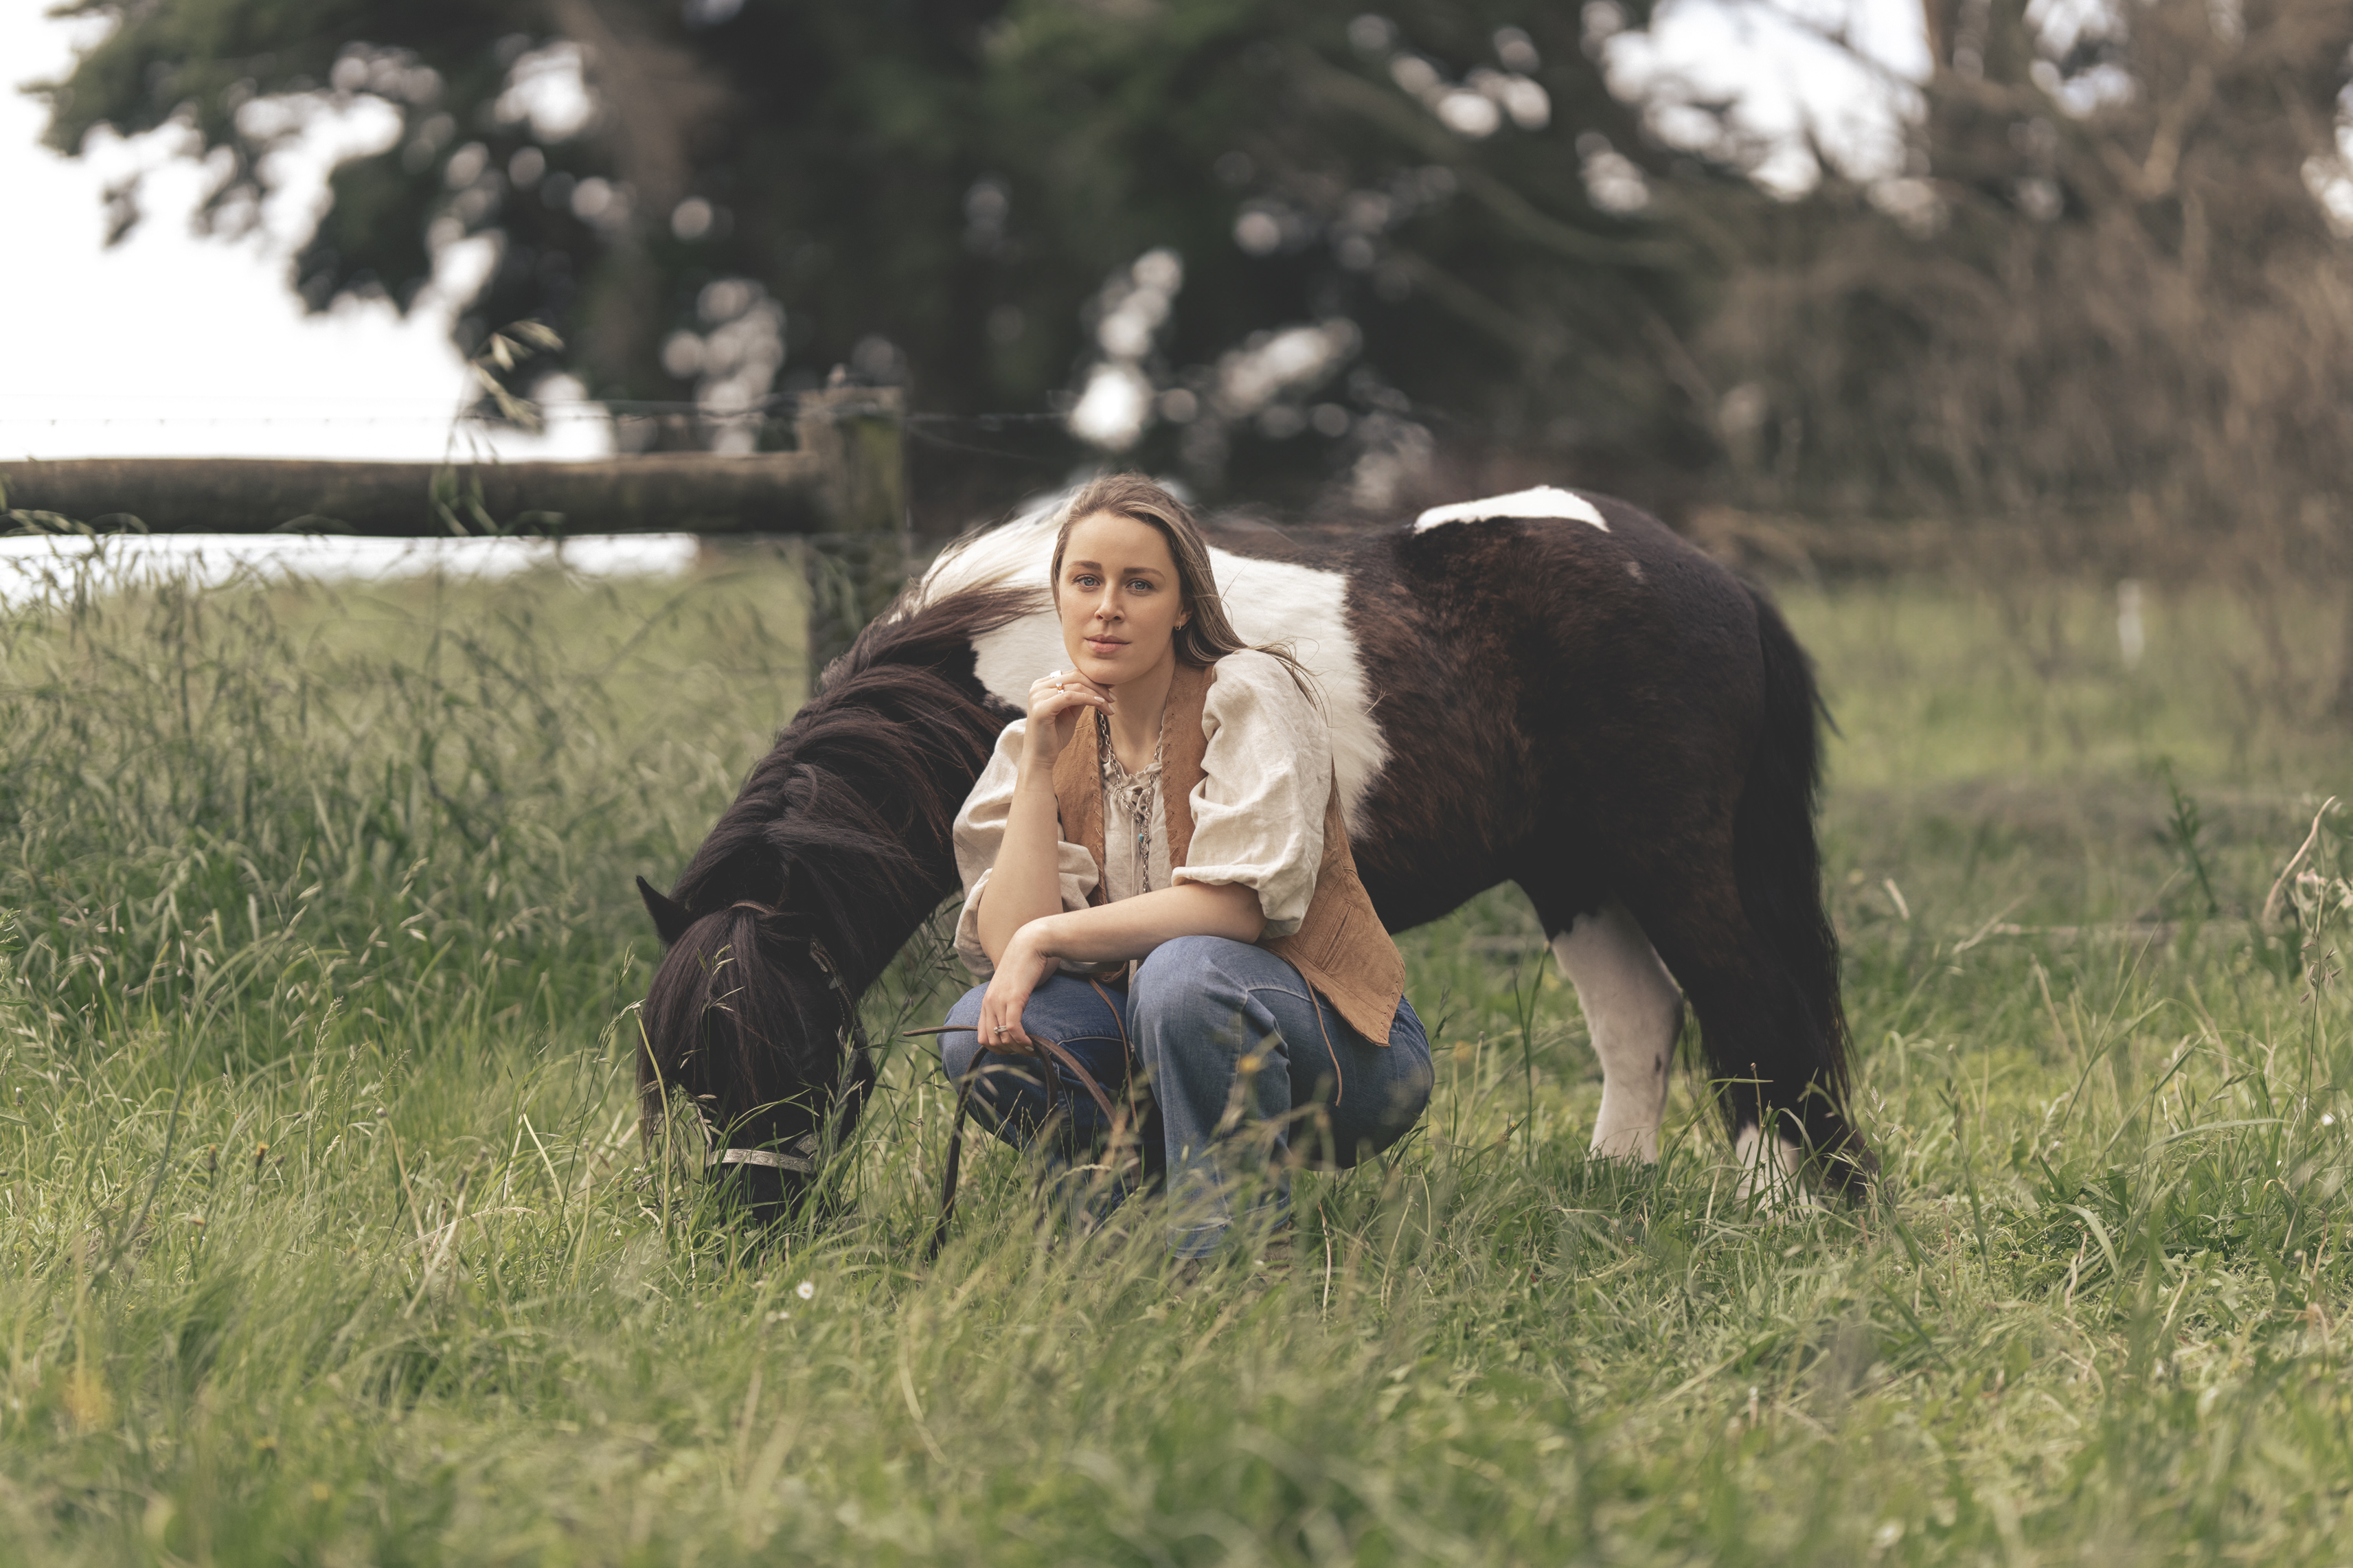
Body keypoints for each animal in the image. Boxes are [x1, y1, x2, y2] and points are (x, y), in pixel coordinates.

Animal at [634, 484, 1873, 1222]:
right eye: (681, 1072)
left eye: (801, 1055)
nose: (750, 1231)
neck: (981, 660)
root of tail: (1717, 580)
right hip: (1574, 872)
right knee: (1638, 1023)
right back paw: (1616, 1190)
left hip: (1670, 856)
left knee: (1753, 1009)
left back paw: (1778, 1213)